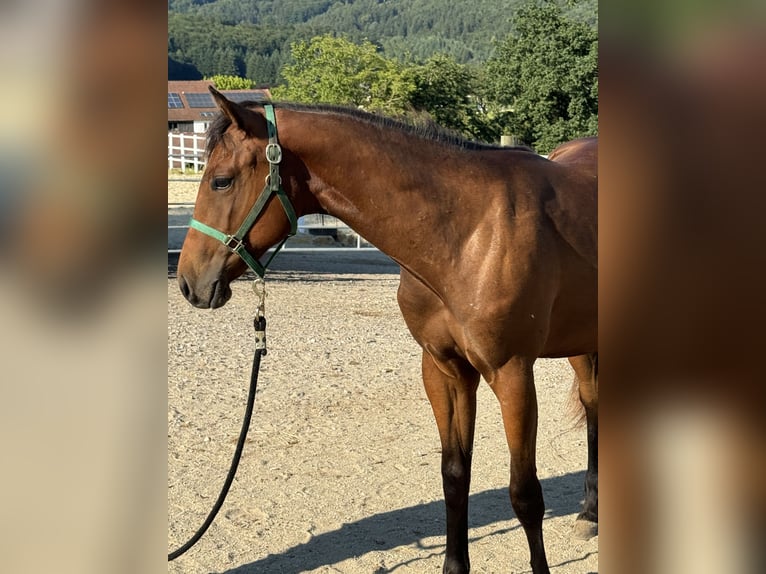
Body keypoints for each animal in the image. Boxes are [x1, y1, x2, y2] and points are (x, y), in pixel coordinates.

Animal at [178, 86, 600, 574]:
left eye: (221, 181)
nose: (190, 282)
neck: (468, 232)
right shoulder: (444, 370)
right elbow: (455, 475)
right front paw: (454, 566)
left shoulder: (511, 373)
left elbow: (525, 494)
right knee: (593, 408)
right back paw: (591, 512)